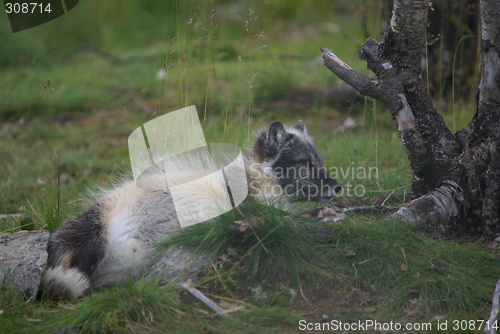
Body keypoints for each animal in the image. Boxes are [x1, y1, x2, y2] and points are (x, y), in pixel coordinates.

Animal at [43, 119, 342, 298]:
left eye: (319, 160)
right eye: (303, 162)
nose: (338, 187)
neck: (256, 180)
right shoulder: (243, 207)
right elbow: (285, 219)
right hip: (96, 231)